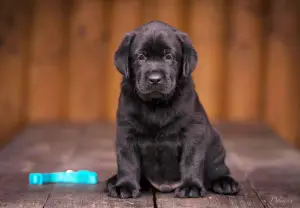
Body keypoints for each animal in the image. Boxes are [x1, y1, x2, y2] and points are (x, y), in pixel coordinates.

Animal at [104, 20, 240, 198]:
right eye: (141, 57)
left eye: (169, 57)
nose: (155, 79)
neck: (156, 105)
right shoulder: (126, 131)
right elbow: (127, 160)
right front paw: (124, 185)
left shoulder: (193, 130)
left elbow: (191, 160)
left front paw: (190, 186)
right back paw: (113, 181)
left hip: (215, 146)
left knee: (218, 168)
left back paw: (225, 182)